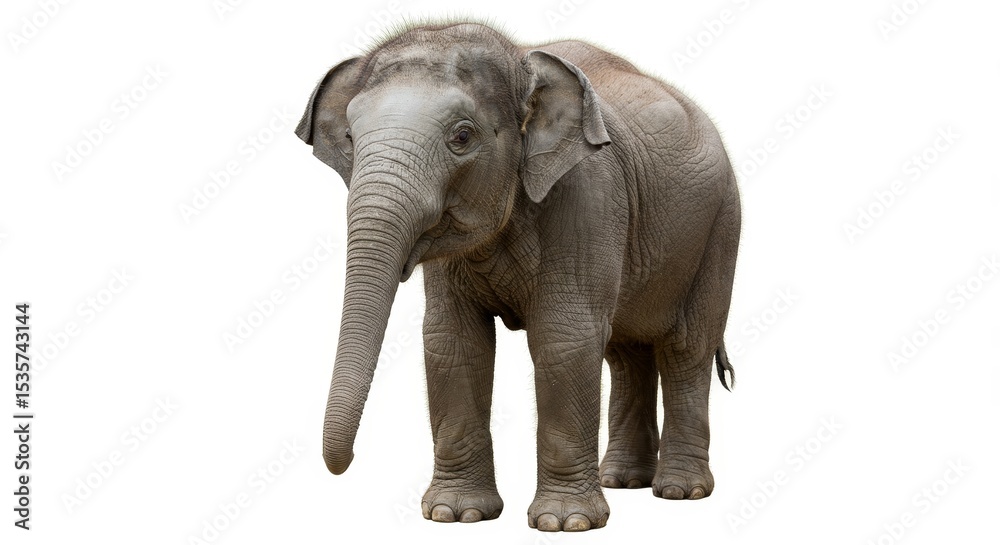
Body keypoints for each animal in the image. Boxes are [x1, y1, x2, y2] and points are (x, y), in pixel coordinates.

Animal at [296, 21, 740, 532]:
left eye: (462, 136)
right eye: (350, 137)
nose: (343, 465)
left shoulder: (588, 194)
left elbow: (564, 338)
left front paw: (564, 523)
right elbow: (452, 340)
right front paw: (456, 515)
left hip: (720, 229)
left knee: (685, 348)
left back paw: (680, 492)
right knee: (626, 352)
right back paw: (622, 481)